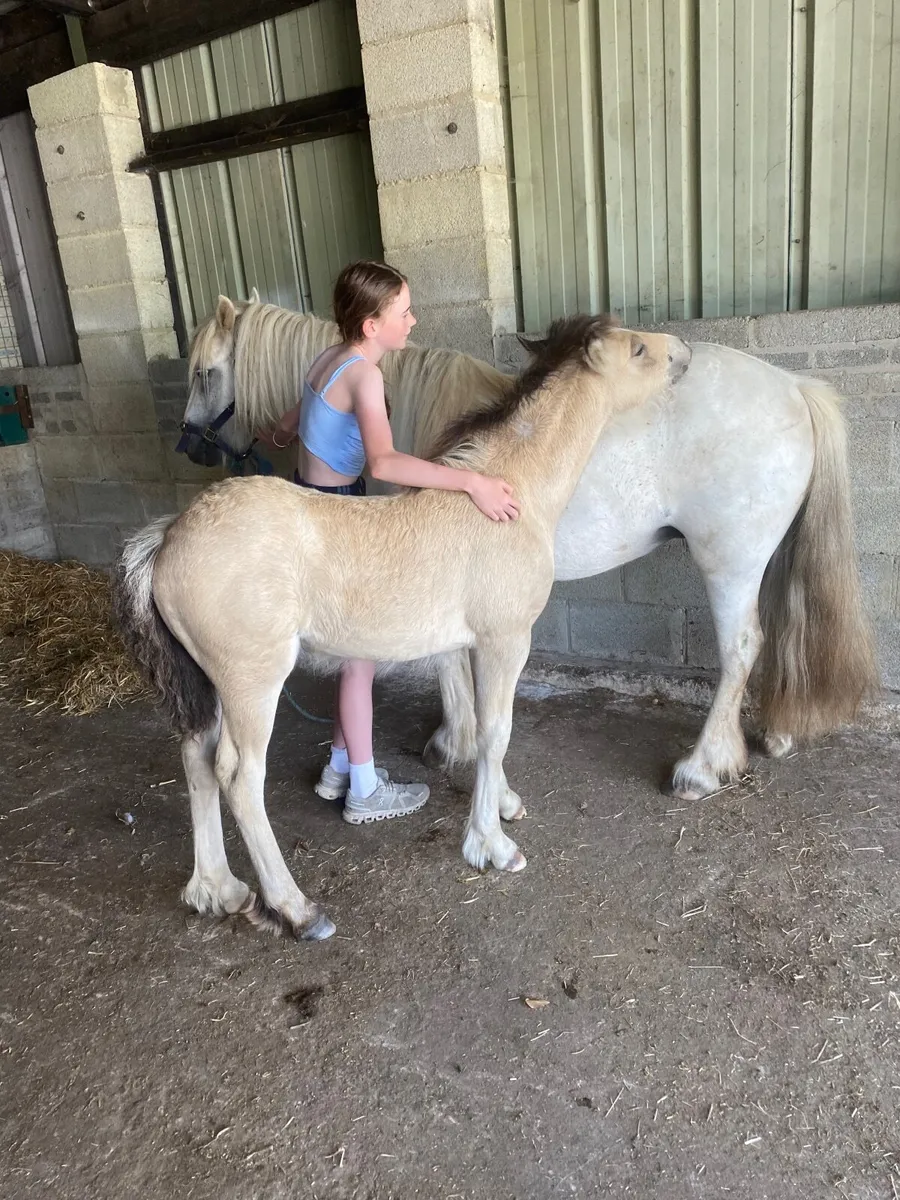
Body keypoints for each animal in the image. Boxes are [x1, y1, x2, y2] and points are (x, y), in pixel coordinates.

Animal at [114, 315, 690, 939]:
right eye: (638, 348)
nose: (684, 351)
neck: (511, 495)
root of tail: (169, 537)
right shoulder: (505, 641)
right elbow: (496, 731)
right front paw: (491, 844)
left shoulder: (469, 645)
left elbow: (480, 725)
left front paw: (503, 803)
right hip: (252, 683)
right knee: (239, 778)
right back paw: (297, 909)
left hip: (209, 684)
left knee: (195, 758)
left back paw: (219, 891)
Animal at [176, 294, 877, 802]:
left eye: (206, 373)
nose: (189, 445)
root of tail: (792, 385)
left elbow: (446, 664)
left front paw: (450, 743)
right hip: (761, 558)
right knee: (781, 632)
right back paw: (776, 735)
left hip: (725, 563)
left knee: (740, 648)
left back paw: (701, 768)